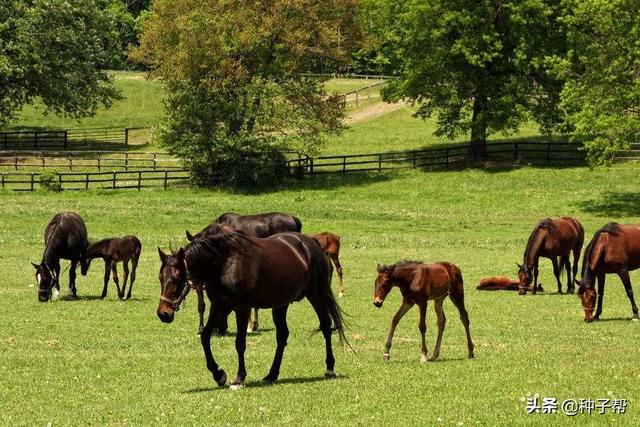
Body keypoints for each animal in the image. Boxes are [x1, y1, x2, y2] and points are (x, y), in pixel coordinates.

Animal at [156, 229, 348, 390]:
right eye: (160, 277)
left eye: (177, 277)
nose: (163, 313)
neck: (225, 264)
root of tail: (310, 243)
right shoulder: (219, 307)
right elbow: (205, 337)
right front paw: (218, 374)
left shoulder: (242, 309)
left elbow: (240, 343)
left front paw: (239, 378)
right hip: (281, 304)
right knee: (282, 335)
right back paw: (271, 374)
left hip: (316, 295)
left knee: (325, 326)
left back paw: (329, 368)